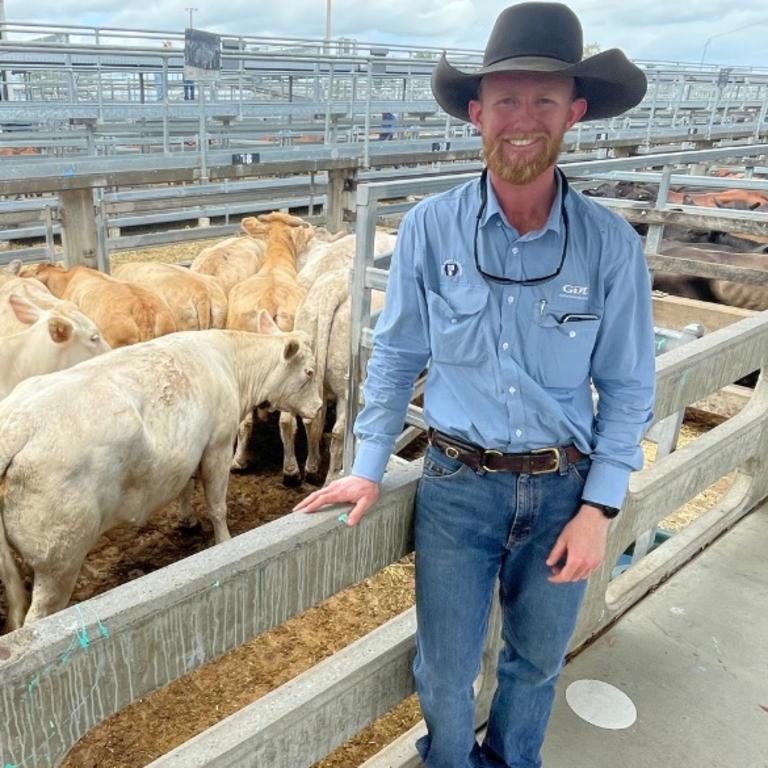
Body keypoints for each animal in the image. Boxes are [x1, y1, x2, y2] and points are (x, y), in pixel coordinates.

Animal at [0, 312, 320, 632]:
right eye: (309, 372)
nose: (318, 408)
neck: (229, 363)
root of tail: (17, 424)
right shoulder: (218, 445)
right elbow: (217, 507)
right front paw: (225, 542)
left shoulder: (190, 448)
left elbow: (186, 485)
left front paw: (187, 520)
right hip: (59, 561)